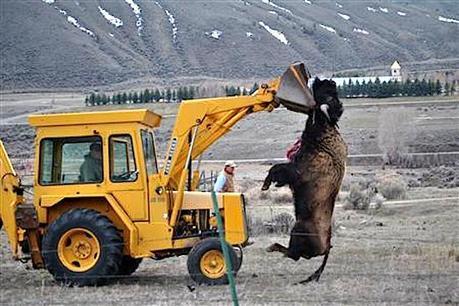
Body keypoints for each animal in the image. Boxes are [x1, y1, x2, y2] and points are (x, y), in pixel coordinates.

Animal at [262, 77, 348, 284]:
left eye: (330, 95)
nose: (323, 80)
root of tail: (328, 245)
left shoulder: (296, 171)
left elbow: (276, 168)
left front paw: (266, 185)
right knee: (295, 255)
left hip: (297, 228)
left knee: (292, 254)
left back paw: (272, 247)